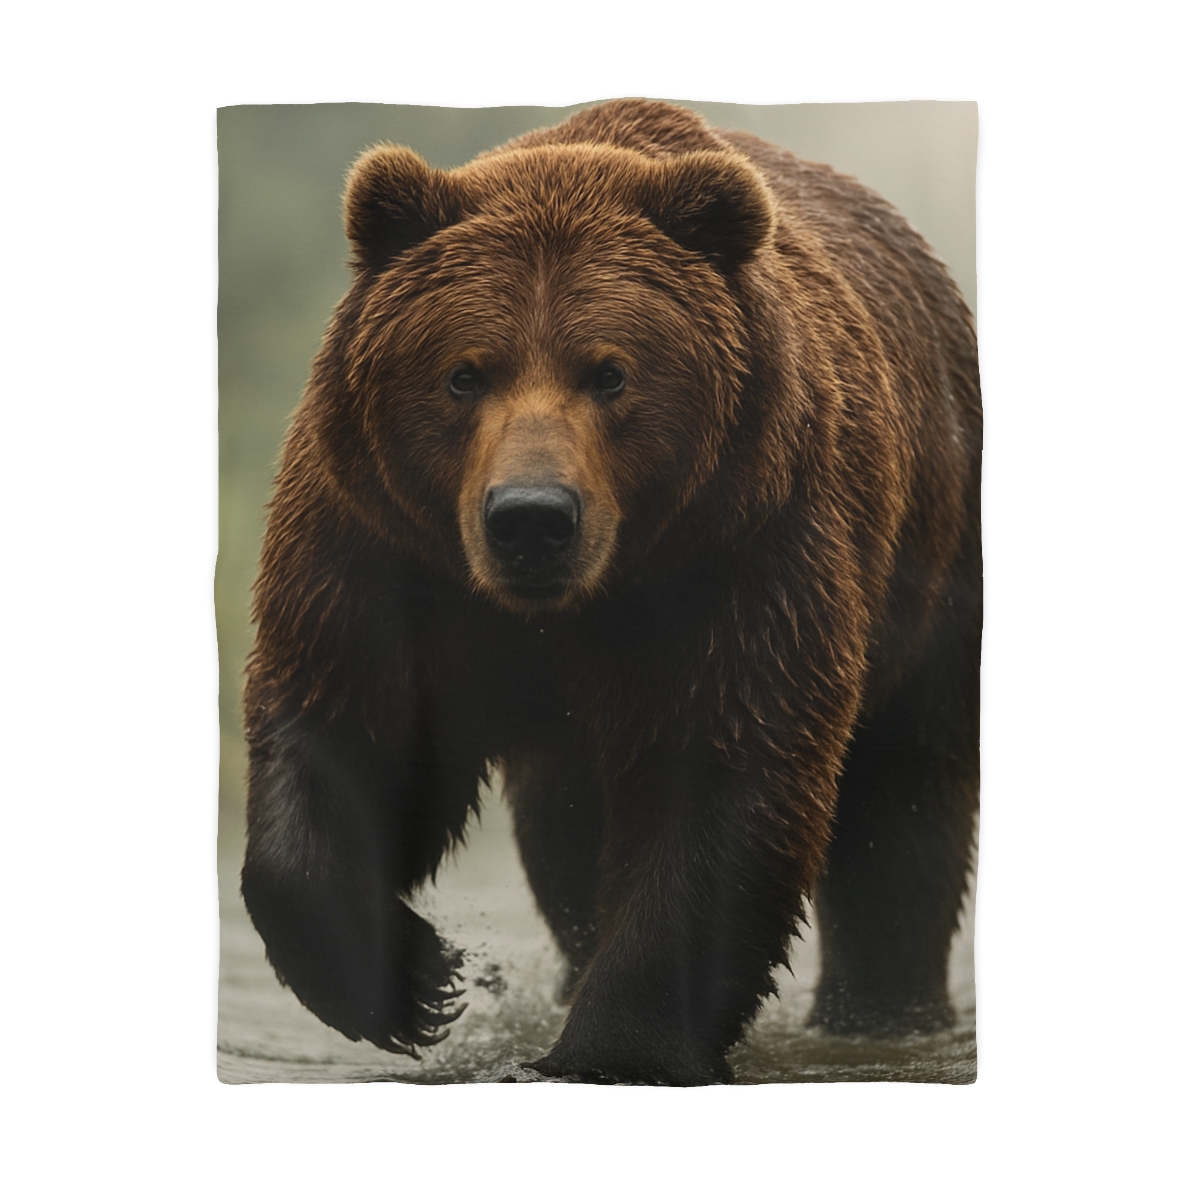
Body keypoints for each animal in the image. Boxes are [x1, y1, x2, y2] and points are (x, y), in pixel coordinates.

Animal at [240, 99, 981, 1086]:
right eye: (464, 372)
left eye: (611, 371)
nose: (531, 518)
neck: (563, 611)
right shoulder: (384, 547)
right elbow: (346, 727)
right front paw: (417, 983)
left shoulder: (743, 553)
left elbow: (719, 781)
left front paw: (616, 1045)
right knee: (567, 837)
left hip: (931, 573)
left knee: (904, 817)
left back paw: (882, 1014)